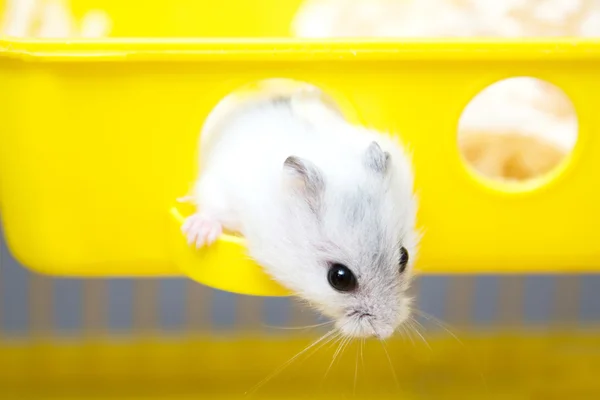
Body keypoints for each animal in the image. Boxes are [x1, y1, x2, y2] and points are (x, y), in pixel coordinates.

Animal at [180, 86, 420, 340]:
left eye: (404, 257)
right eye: (339, 278)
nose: (386, 332)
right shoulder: (222, 189)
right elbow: (211, 210)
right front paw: (196, 238)